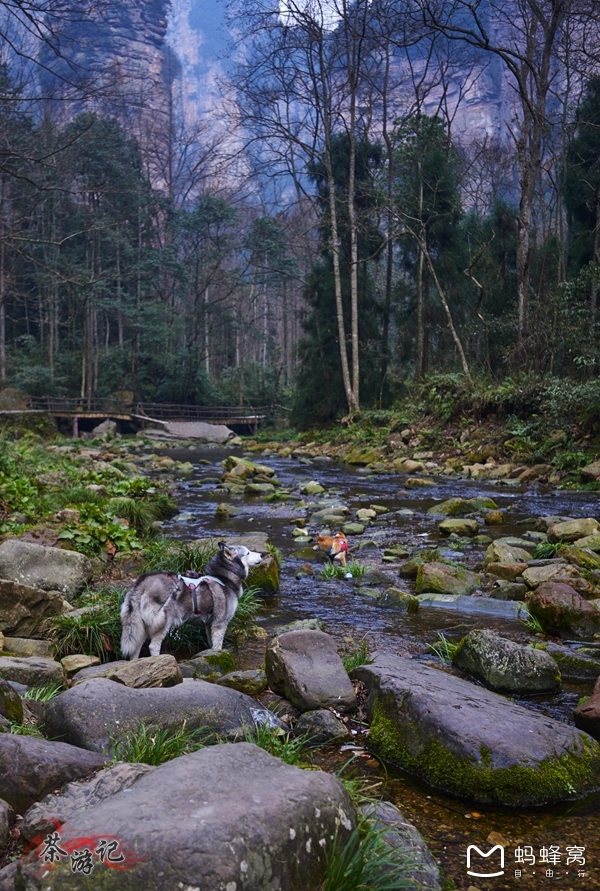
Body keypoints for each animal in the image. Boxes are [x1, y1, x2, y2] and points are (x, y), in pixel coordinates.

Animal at [120, 540, 262, 660]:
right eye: (248, 552)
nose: (261, 554)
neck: (224, 579)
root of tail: (142, 582)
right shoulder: (220, 623)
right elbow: (218, 646)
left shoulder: (209, 625)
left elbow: (211, 644)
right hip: (163, 622)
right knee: (153, 646)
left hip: (139, 626)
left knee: (136, 648)